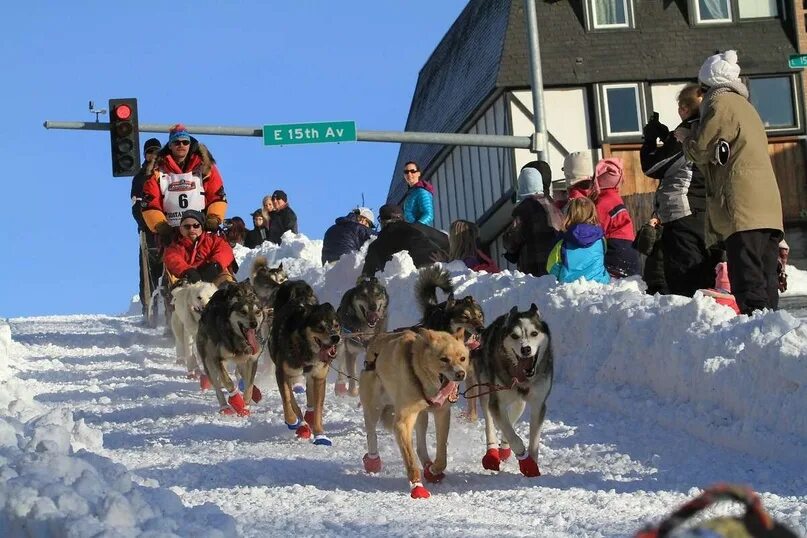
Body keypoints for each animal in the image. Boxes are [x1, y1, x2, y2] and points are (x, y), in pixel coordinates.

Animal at [196, 280, 266, 414]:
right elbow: (228, 381)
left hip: (242, 361)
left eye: (257, 312)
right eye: (243, 311)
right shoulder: (217, 359)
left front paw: (246, 406)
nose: (254, 324)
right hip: (208, 361)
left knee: (243, 375)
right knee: (218, 387)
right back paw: (225, 407)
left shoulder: (252, 360)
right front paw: (237, 401)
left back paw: (255, 393)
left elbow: (249, 385)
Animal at [268, 278, 338, 442]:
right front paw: (293, 420)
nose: (336, 338)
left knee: (310, 397)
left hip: (311, 378)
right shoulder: (282, 373)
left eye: (336, 326)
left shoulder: (319, 377)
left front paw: (320, 433)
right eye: (320, 327)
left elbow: (318, 407)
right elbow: (287, 399)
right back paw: (300, 423)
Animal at [360, 326, 468, 498]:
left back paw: (428, 466)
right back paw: (372, 461)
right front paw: (417, 485)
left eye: (462, 358)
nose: (460, 374)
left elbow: (442, 453)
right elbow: (410, 460)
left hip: (421, 416)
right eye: (444, 359)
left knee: (420, 445)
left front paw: (434, 468)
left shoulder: (442, 413)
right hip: (373, 408)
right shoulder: (403, 423)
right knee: (371, 434)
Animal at [470, 304, 552, 476]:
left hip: (519, 401)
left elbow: (533, 441)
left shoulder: (538, 404)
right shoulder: (496, 402)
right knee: (490, 423)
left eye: (534, 333)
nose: (526, 349)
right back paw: (492, 454)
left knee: (513, 413)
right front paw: (525, 460)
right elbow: (513, 436)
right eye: (515, 336)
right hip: (486, 390)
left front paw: (532, 463)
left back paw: (504, 448)